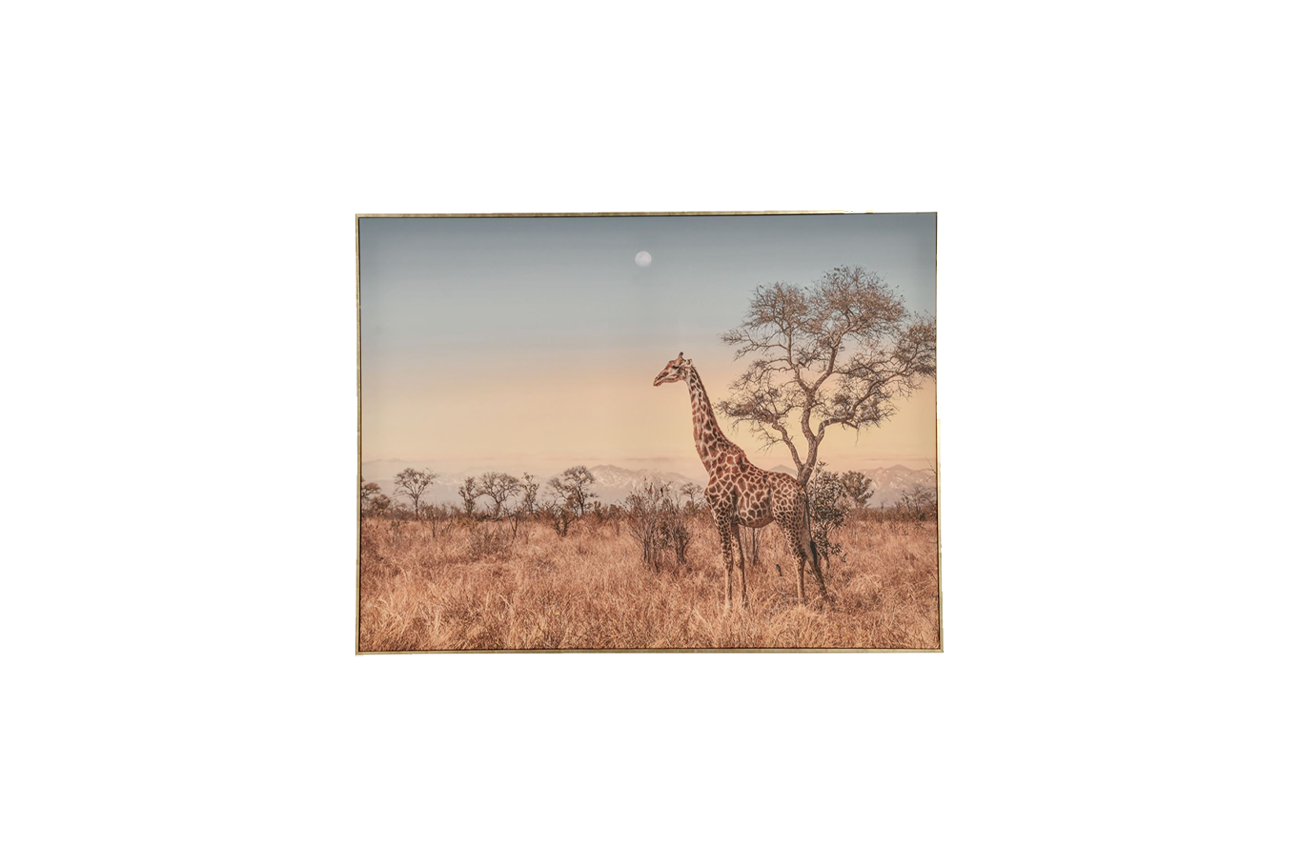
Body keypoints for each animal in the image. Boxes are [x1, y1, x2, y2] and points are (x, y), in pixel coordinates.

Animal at [653, 352, 829, 609]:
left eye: (674, 367)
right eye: (666, 365)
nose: (656, 379)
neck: (711, 458)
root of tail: (801, 491)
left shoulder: (719, 513)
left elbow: (726, 560)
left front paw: (727, 605)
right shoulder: (734, 520)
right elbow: (740, 560)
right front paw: (743, 603)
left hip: (786, 520)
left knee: (798, 557)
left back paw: (801, 602)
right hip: (802, 520)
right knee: (813, 553)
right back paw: (828, 601)